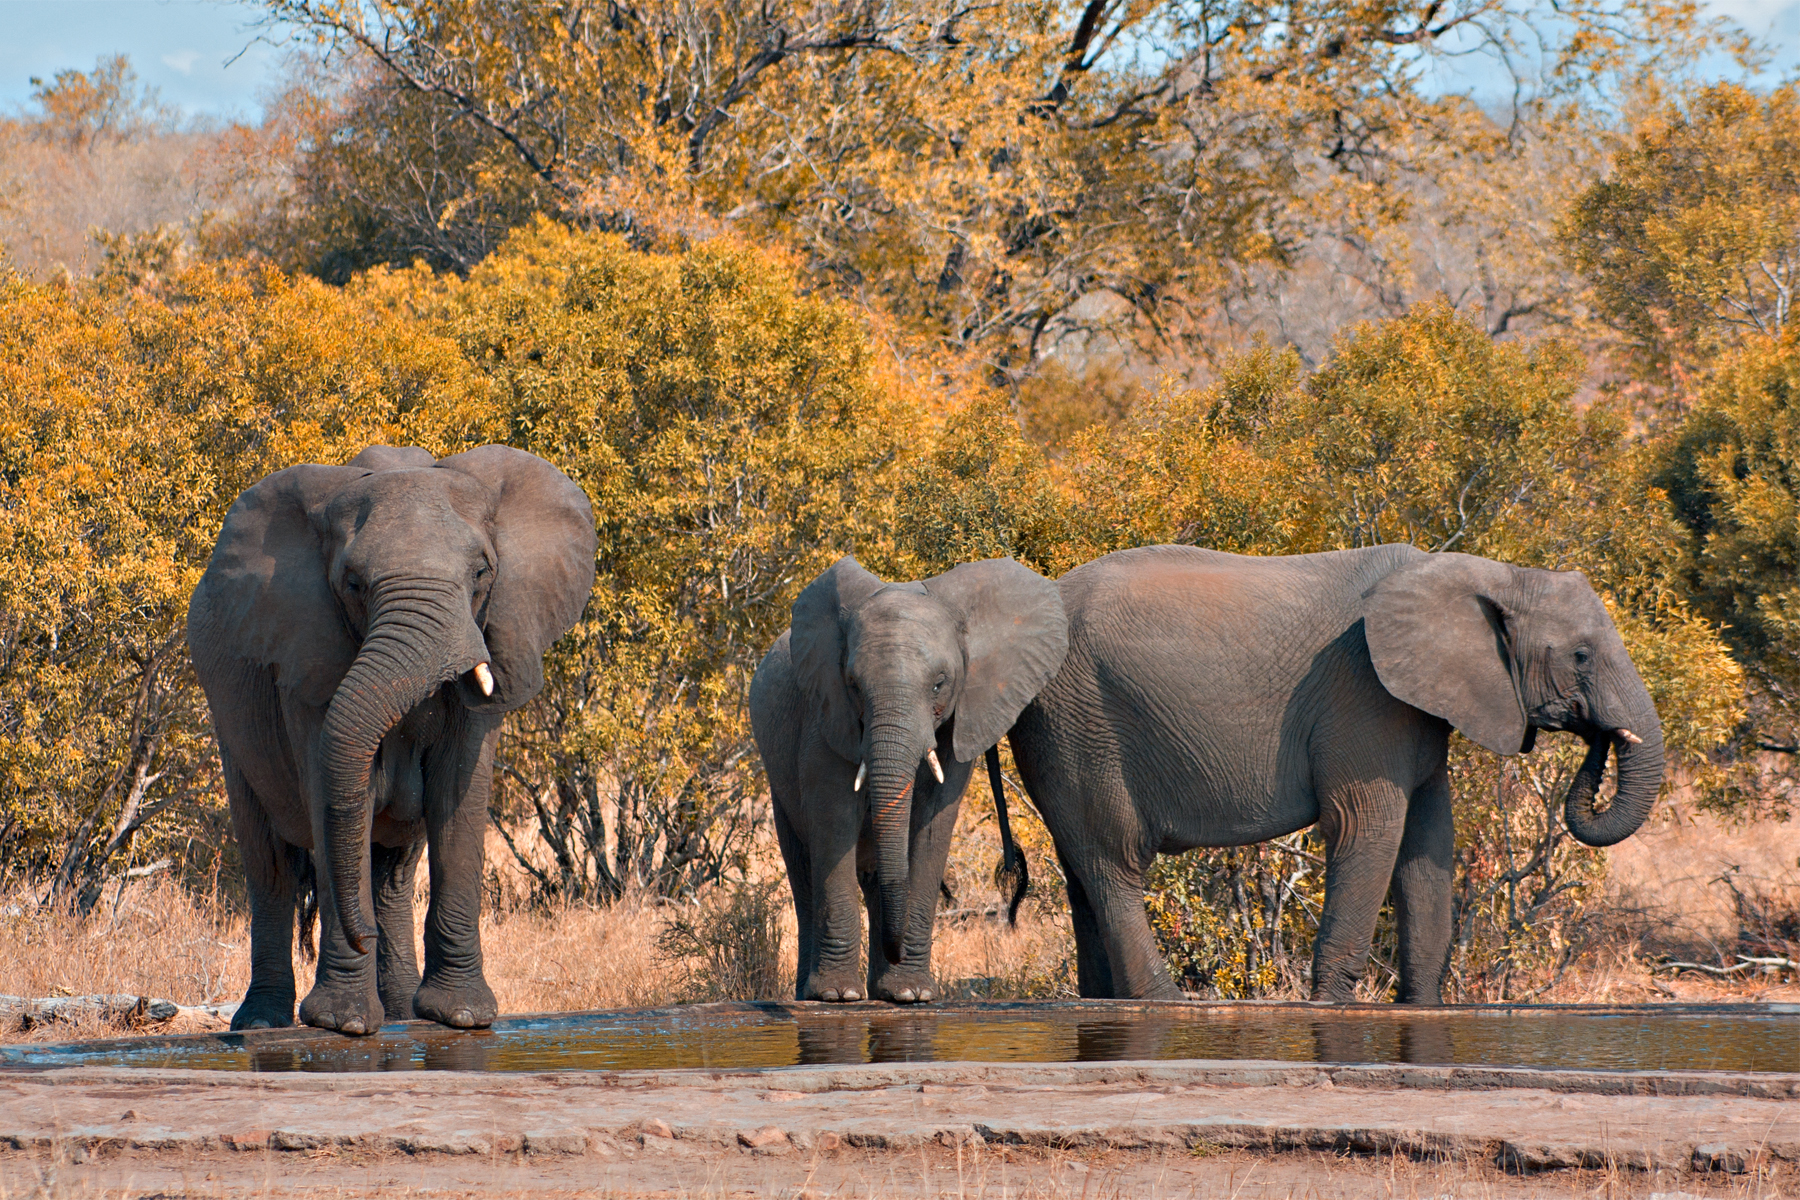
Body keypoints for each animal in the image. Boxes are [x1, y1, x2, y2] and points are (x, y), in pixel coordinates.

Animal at [189, 446, 597, 1036]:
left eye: (481, 572)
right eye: (353, 583)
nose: (362, 937)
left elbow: (460, 798)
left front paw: (462, 1017)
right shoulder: (306, 658)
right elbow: (334, 800)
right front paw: (344, 1024)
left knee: (395, 873)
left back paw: (404, 1011)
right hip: (229, 721)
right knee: (271, 865)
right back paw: (262, 1025)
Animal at [748, 557, 1065, 1007]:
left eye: (939, 683)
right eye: (853, 684)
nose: (895, 949)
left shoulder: (958, 720)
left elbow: (932, 825)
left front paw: (911, 994)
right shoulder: (825, 714)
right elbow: (833, 817)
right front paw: (838, 995)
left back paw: (883, 989)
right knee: (803, 867)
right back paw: (812, 994)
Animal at [1000, 543, 1656, 1007]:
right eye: (1580, 656)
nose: (1600, 737)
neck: (1490, 574)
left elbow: (1428, 845)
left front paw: (1421, 1006)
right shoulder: (1365, 697)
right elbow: (1366, 829)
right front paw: (1333, 1006)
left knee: (1082, 868)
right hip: (1080, 724)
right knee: (1114, 860)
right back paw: (1167, 1004)